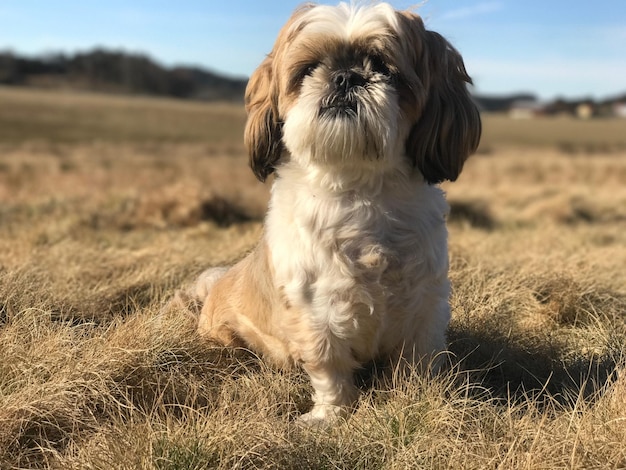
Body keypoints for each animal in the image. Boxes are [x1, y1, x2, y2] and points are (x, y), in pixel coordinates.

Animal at [190, 0, 478, 426]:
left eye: (382, 66)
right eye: (308, 68)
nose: (344, 77)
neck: (359, 190)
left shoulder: (425, 306)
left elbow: (418, 362)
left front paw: (417, 401)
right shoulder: (315, 312)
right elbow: (330, 366)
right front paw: (331, 414)